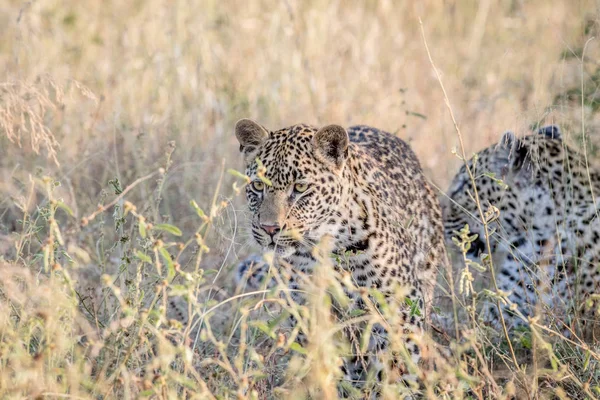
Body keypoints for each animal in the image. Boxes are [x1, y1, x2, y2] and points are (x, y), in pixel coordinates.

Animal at [232, 119, 448, 396]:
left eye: (300, 188)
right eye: (258, 185)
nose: (270, 229)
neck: (323, 245)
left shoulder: (400, 306)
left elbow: (397, 363)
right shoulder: (309, 310)